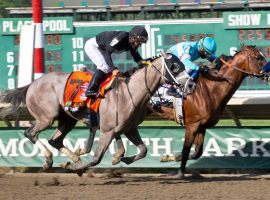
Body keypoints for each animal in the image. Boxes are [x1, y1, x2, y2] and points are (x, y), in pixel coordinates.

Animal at [0, 52, 184, 172]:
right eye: (174, 67)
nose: (188, 84)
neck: (129, 92)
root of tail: (32, 84)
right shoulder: (107, 130)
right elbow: (96, 159)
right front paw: (76, 168)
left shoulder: (129, 128)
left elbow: (143, 150)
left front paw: (122, 158)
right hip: (47, 117)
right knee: (30, 133)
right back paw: (51, 160)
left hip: (67, 119)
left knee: (55, 140)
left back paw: (72, 157)